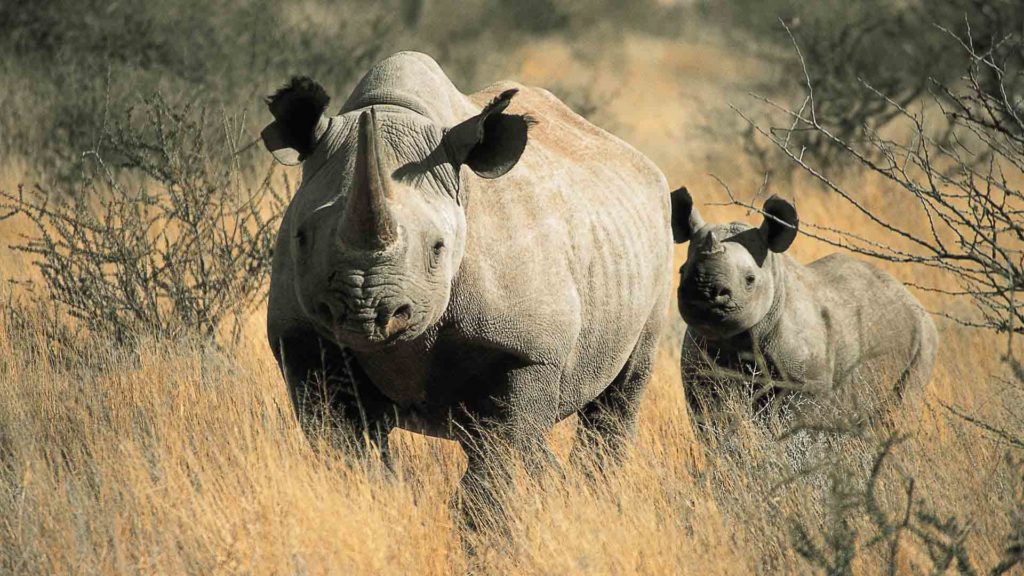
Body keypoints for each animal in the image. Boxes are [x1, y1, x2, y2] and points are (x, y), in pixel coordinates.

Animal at [262, 52, 673, 514]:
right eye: (301, 237)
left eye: (438, 248)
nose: (365, 314)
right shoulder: (303, 340)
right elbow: (344, 447)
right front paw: (374, 506)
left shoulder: (523, 350)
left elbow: (496, 455)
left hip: (656, 235)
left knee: (615, 396)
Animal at [670, 187, 937, 433]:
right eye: (681, 271)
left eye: (749, 279)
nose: (704, 292)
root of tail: (910, 298)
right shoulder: (698, 375)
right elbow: (712, 424)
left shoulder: (806, 383)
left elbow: (793, 426)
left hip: (924, 336)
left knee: (902, 406)